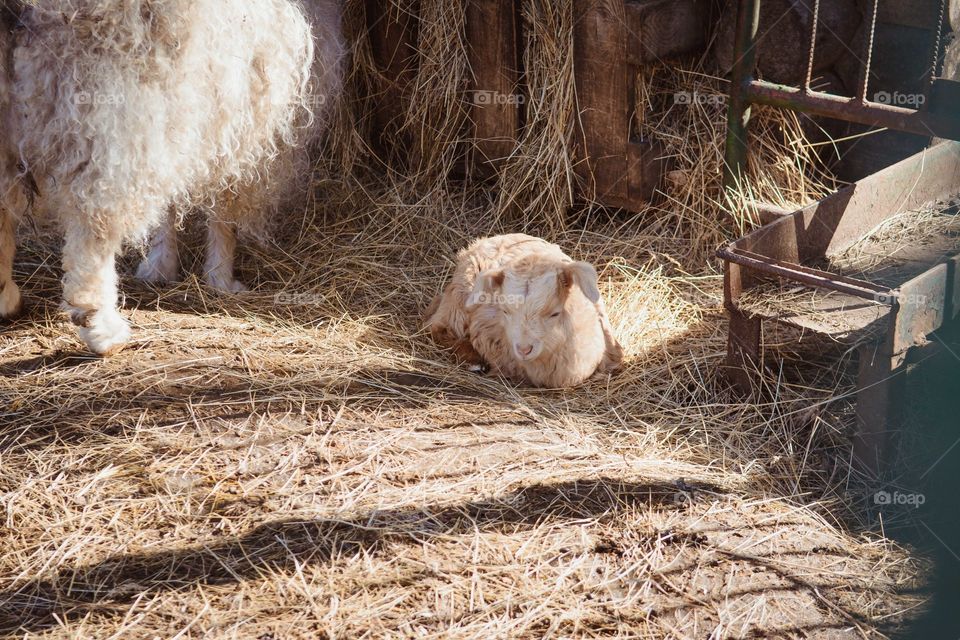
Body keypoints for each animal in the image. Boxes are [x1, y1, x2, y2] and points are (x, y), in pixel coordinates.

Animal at [0, 0, 335, 355]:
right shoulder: (249, 97)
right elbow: (224, 204)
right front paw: (221, 277)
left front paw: (162, 265)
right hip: (110, 100)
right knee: (95, 226)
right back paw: (101, 327)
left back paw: (7, 297)